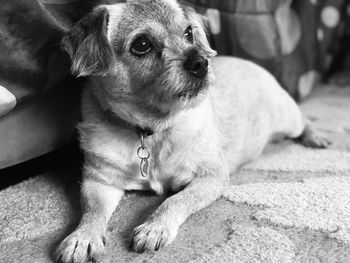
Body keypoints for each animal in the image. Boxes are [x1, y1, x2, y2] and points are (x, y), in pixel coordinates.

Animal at [55, 1, 330, 262]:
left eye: (189, 33)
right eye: (141, 44)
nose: (201, 62)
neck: (152, 130)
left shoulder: (211, 176)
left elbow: (174, 200)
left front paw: (155, 227)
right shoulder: (99, 181)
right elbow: (91, 212)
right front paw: (82, 237)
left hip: (288, 118)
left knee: (305, 120)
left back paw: (317, 137)